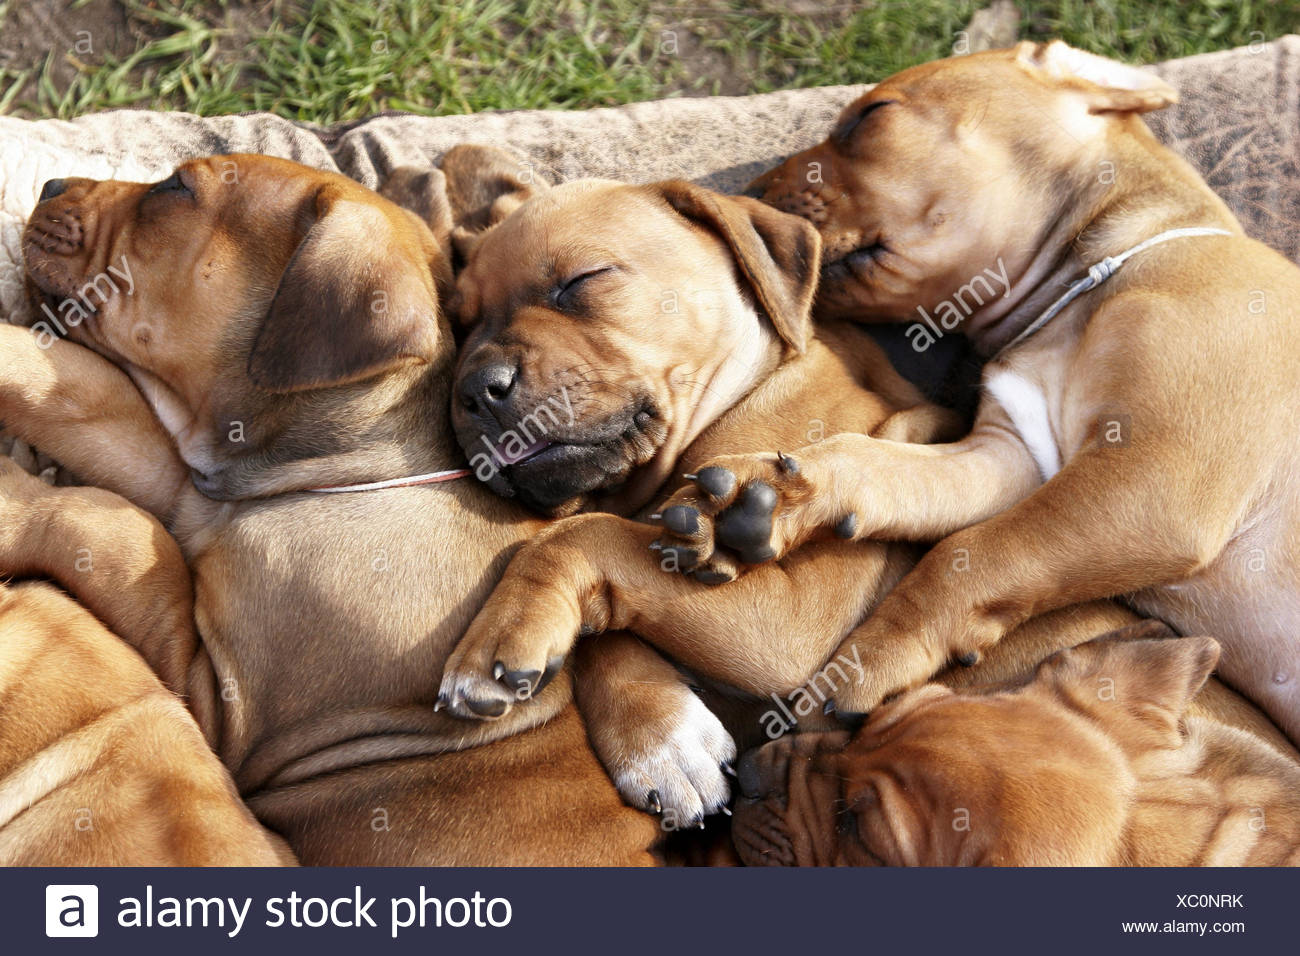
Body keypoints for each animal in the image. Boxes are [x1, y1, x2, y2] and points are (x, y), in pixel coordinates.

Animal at [655, 41, 1300, 743]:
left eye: (870, 116)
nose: (746, 194)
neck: (1093, 282)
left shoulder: (1156, 479)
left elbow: (975, 550)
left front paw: (869, 660)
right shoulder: (1012, 455)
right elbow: (880, 465)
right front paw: (770, 500)